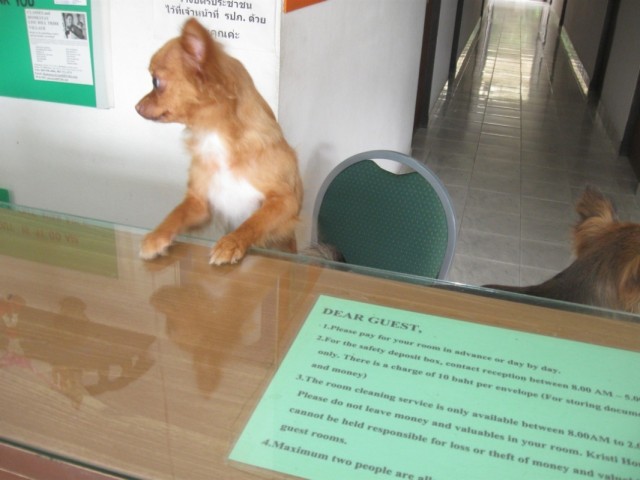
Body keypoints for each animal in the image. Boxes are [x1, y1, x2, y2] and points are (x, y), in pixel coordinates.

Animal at [136, 18, 302, 265]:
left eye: (155, 82)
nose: (136, 106)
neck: (216, 136)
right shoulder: (200, 203)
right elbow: (175, 213)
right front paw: (156, 237)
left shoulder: (284, 201)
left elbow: (252, 222)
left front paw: (231, 244)